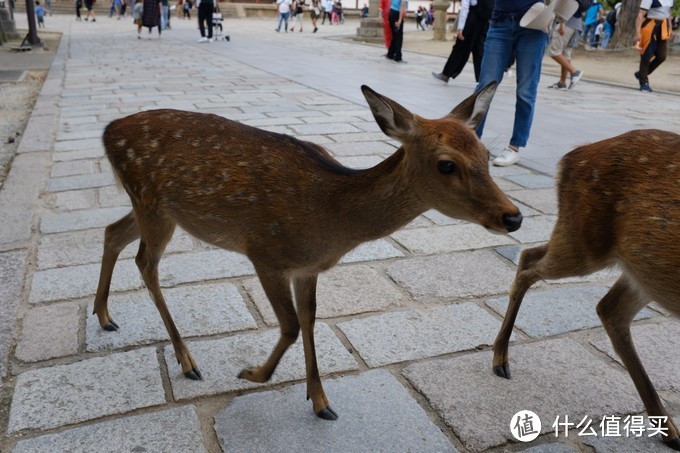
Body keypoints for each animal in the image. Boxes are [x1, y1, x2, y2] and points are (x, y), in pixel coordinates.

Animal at [94, 82, 520, 420]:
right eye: (447, 165)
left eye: (486, 155)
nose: (513, 216)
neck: (331, 219)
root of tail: (107, 131)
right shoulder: (265, 252)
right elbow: (290, 325)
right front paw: (251, 374)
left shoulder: (308, 268)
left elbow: (310, 320)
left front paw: (320, 401)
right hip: (152, 204)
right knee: (145, 263)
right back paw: (186, 361)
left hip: (153, 209)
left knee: (112, 232)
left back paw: (104, 316)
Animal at [492, 129, 680, 450]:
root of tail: (570, 158)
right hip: (586, 244)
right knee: (529, 261)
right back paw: (500, 360)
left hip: (644, 270)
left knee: (608, 307)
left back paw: (669, 429)